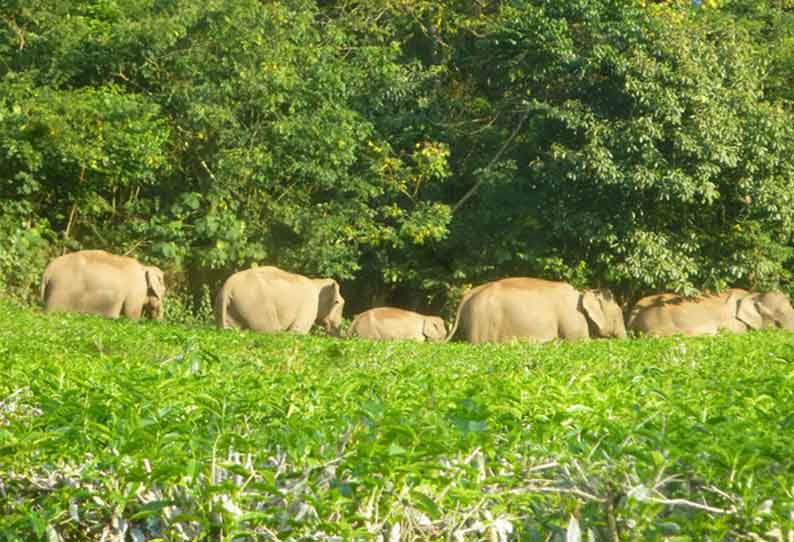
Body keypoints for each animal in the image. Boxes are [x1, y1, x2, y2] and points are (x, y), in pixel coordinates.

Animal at [213, 266, 344, 336]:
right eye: (338, 302)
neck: (317, 282)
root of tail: (228, 287)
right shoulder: (309, 304)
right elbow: (298, 332)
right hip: (255, 304)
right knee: (271, 331)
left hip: (229, 307)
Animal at [446, 278, 624, 346]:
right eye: (619, 314)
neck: (583, 293)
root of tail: (468, 295)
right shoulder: (574, 319)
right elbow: (580, 342)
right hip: (481, 323)